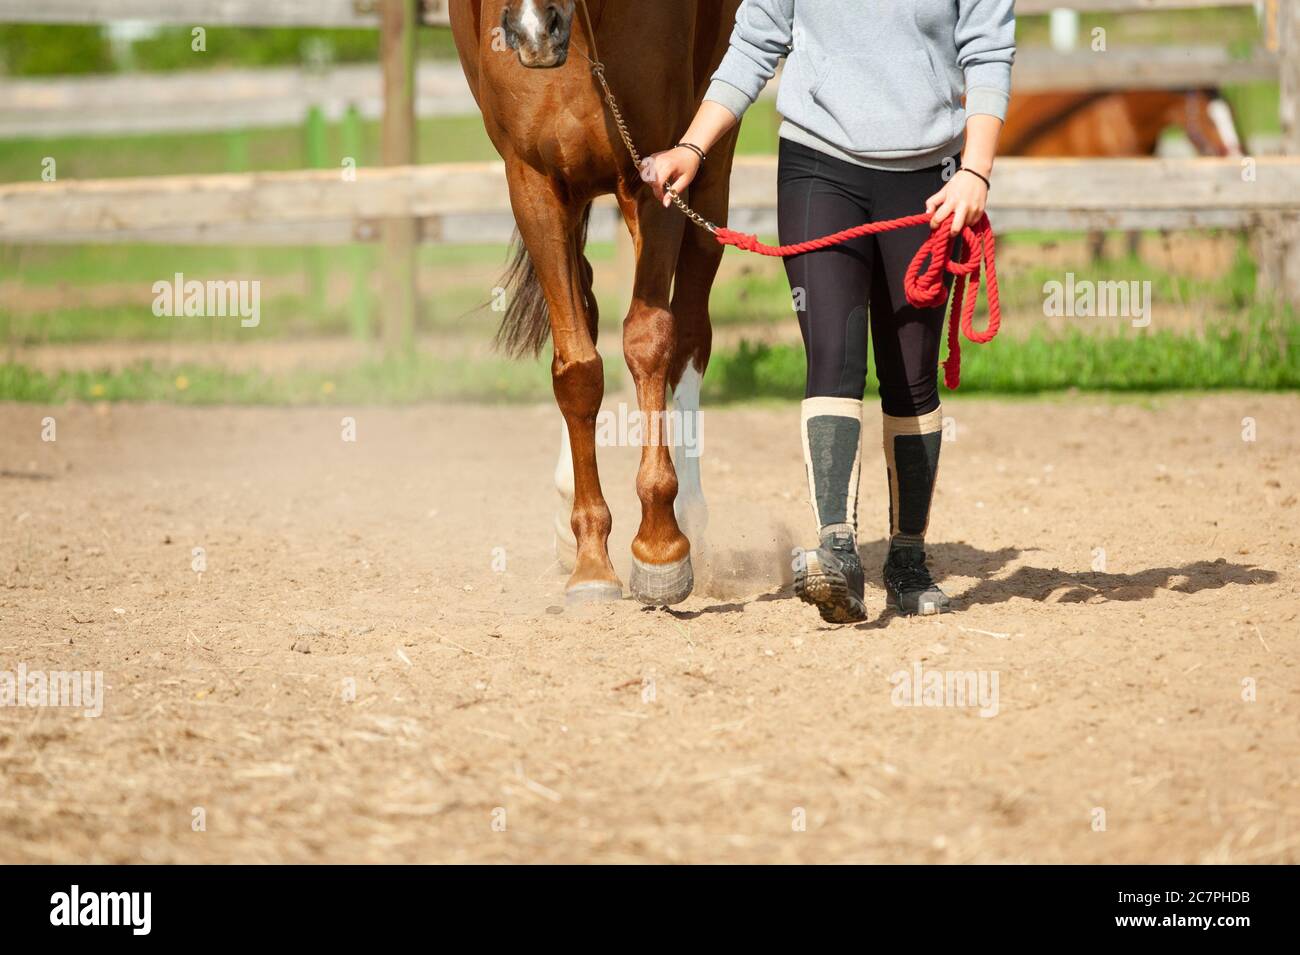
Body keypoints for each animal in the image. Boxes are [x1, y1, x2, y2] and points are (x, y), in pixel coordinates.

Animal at [449, 1, 743, 605]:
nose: (534, 32)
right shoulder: (534, 186)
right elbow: (577, 366)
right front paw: (590, 558)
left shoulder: (655, 177)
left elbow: (649, 341)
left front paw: (660, 546)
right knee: (584, 312)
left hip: (711, 168)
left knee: (691, 337)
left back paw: (692, 518)